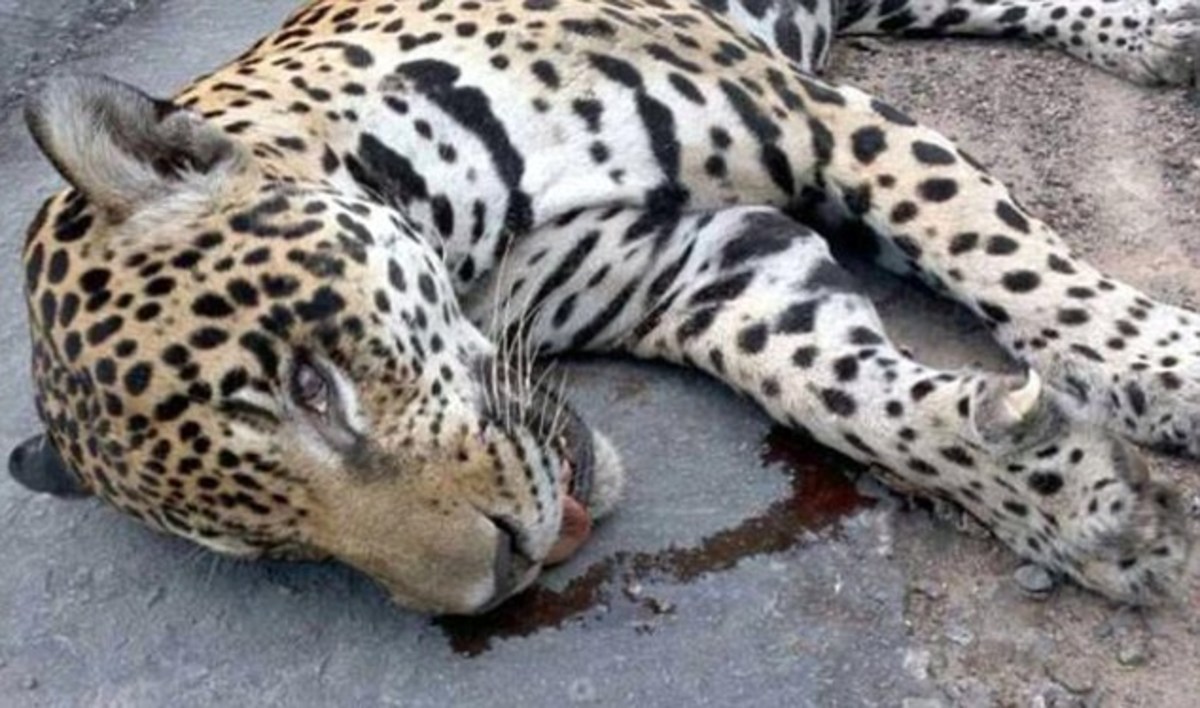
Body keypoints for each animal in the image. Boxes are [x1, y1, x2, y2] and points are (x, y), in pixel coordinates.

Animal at [7, 0, 1200, 615]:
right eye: (268, 549)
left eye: (311, 386)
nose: (495, 581)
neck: (470, 245)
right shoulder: (711, 270)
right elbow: (838, 390)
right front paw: (1066, 505)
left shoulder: (816, 117)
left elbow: (1000, 254)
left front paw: (1166, 364)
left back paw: (1152, 33)